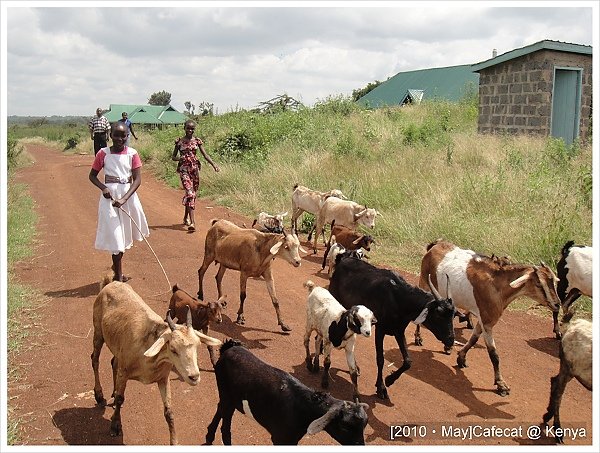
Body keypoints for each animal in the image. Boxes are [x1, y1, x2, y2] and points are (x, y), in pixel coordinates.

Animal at [92, 274, 224, 444]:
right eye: (173, 349)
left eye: (197, 345)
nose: (194, 377)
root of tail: (110, 283)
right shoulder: (124, 371)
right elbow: (121, 399)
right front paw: (115, 426)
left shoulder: (163, 378)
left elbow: (169, 412)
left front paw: (174, 441)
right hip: (98, 332)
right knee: (95, 359)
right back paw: (99, 395)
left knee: (113, 362)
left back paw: (112, 393)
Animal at [204, 338, 368, 444]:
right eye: (345, 427)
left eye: (363, 427)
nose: (360, 445)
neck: (303, 407)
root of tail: (229, 348)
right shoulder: (281, 438)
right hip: (227, 395)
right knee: (225, 426)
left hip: (229, 397)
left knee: (220, 408)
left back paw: (209, 436)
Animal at [328, 254, 454, 400]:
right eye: (439, 314)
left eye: (453, 315)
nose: (451, 339)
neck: (400, 299)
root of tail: (343, 259)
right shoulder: (380, 329)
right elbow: (380, 359)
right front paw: (381, 387)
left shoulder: (399, 331)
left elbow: (408, 361)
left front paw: (389, 380)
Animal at [418, 240, 564, 396]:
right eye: (538, 284)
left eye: (553, 282)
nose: (557, 304)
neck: (498, 286)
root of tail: (436, 244)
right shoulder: (487, 321)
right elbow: (494, 354)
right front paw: (501, 384)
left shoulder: (483, 318)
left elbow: (474, 338)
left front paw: (461, 357)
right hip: (424, 283)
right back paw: (418, 338)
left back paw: (448, 346)